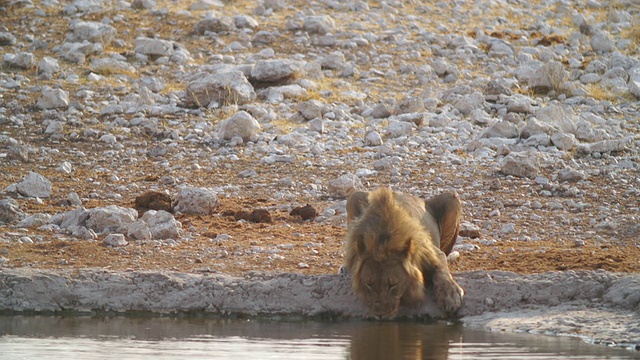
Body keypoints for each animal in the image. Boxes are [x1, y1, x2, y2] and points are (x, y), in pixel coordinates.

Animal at [344, 187, 464, 320]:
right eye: (369, 284)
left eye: (393, 284)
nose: (379, 315)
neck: (382, 242)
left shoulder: (433, 253)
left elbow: (442, 272)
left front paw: (450, 295)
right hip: (354, 196)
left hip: (453, 198)